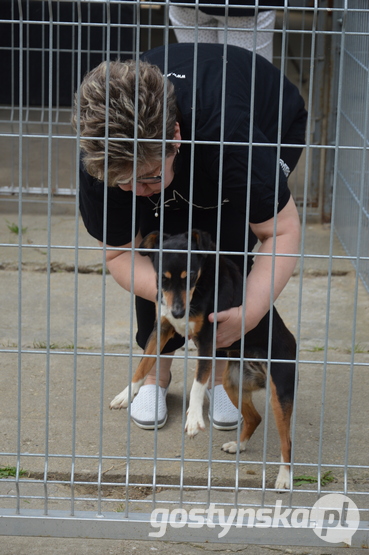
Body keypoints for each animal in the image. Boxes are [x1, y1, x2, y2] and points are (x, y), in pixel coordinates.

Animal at [110, 230, 296, 490]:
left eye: (190, 276)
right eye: (162, 278)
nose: (178, 312)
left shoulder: (208, 339)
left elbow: (198, 383)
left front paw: (194, 419)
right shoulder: (161, 329)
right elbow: (143, 364)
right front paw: (126, 394)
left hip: (280, 395)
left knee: (287, 441)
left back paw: (284, 478)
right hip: (233, 383)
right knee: (255, 418)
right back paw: (238, 445)